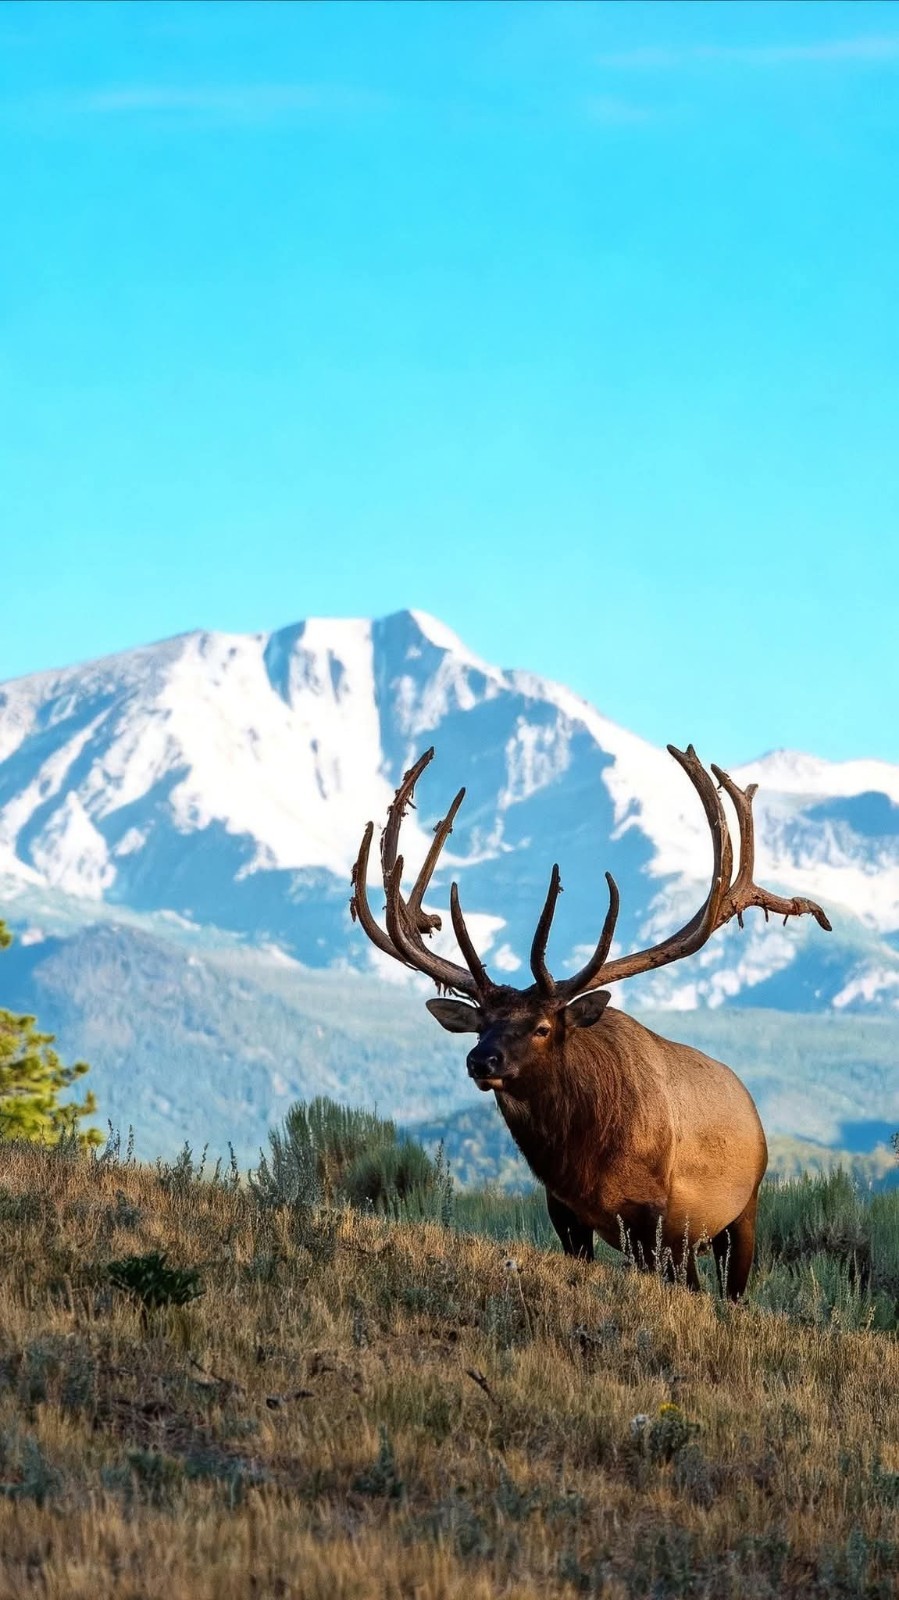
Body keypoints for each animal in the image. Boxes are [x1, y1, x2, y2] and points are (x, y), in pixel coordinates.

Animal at [350, 745, 831, 1298]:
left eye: (542, 1028)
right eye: (480, 1024)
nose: (481, 1060)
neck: (585, 1165)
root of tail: (749, 1103)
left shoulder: (657, 1212)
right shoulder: (564, 1211)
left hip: (742, 1211)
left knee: (730, 1292)